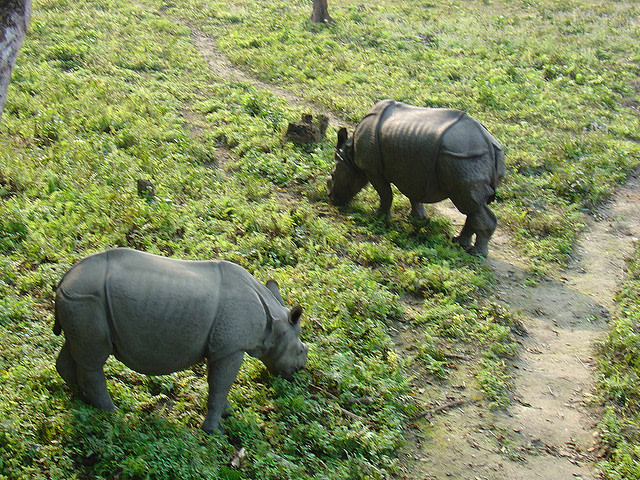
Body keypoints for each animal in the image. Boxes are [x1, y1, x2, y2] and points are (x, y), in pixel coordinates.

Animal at [53, 248, 308, 433]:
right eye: (300, 350)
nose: (300, 369)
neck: (274, 323)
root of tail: (64, 280)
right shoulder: (231, 348)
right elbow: (221, 385)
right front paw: (214, 432)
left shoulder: (219, 347)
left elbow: (217, 383)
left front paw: (228, 412)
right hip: (86, 299)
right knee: (93, 360)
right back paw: (113, 414)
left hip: (78, 300)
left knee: (76, 352)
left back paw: (81, 401)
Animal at [328, 99, 505, 257]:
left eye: (333, 176)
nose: (330, 198)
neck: (350, 154)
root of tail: (489, 143)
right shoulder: (414, 172)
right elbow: (413, 195)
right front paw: (417, 219)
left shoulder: (373, 170)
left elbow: (385, 194)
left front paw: (379, 218)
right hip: (471, 156)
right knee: (472, 206)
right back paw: (459, 243)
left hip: (464, 157)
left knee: (469, 202)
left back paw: (477, 254)